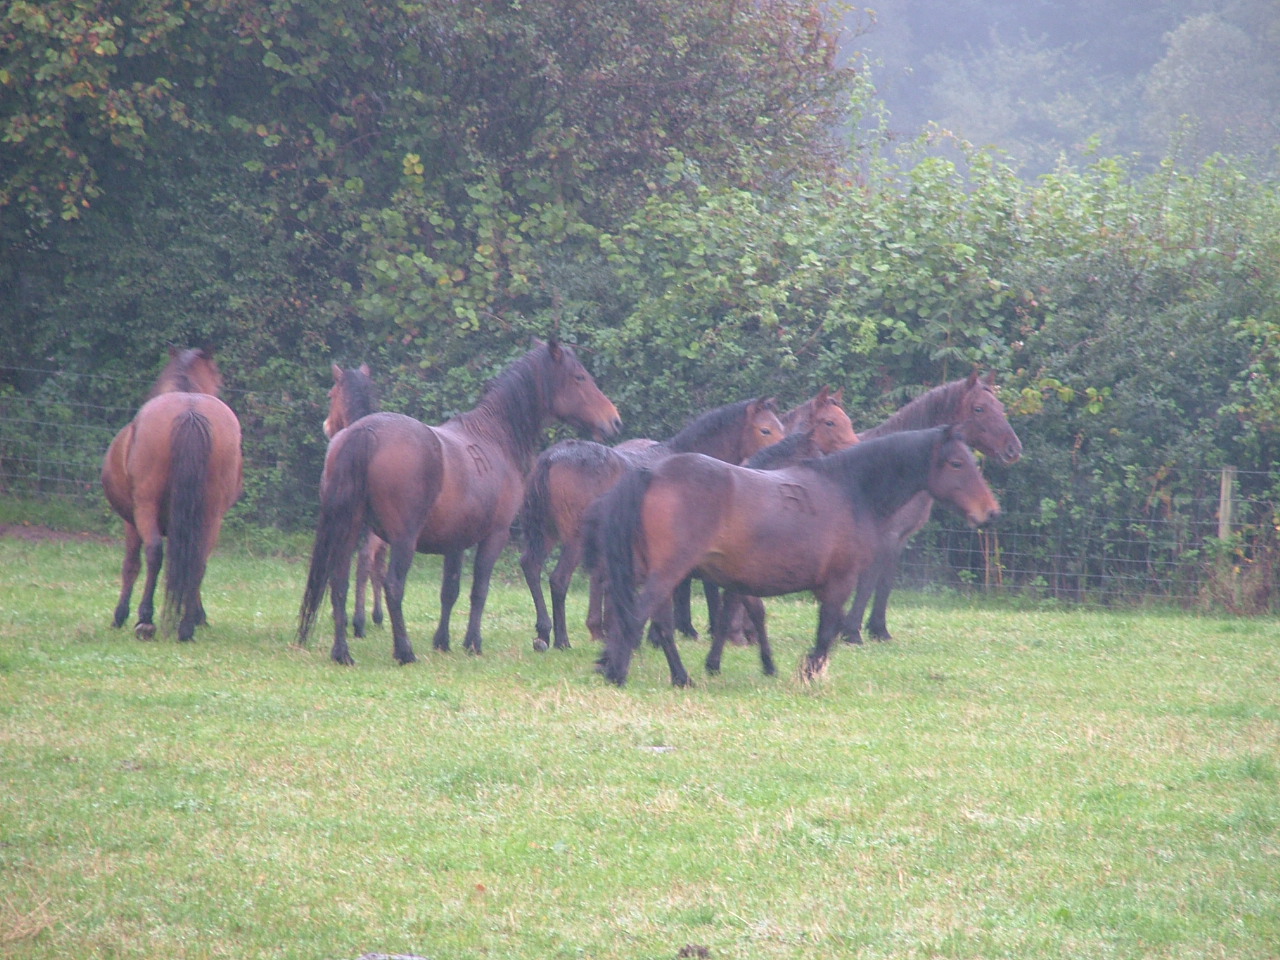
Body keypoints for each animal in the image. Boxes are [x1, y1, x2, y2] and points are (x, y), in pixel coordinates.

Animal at [101, 346, 244, 642]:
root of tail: (190, 410)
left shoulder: (130, 521)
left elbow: (131, 565)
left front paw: (120, 615)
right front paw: (200, 616)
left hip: (145, 507)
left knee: (154, 553)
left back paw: (145, 619)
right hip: (212, 513)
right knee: (198, 560)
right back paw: (186, 626)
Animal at [297, 339, 622, 666]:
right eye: (580, 377)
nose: (614, 420)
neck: (493, 436)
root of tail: (365, 432)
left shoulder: (455, 541)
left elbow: (449, 591)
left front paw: (443, 641)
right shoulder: (494, 535)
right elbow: (479, 590)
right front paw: (472, 642)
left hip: (349, 528)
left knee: (339, 583)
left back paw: (342, 653)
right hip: (402, 539)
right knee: (393, 586)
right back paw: (404, 651)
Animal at [518, 396, 786, 652]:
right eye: (765, 430)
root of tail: (550, 458)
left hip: (546, 531)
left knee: (531, 566)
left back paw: (543, 634)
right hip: (574, 539)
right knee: (558, 579)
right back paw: (562, 640)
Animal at [588, 426, 1000, 687]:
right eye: (957, 463)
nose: (990, 511)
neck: (849, 490)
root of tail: (652, 472)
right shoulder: (839, 582)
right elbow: (827, 631)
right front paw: (808, 674)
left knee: (658, 624)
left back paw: (679, 677)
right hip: (668, 573)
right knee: (639, 617)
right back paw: (618, 672)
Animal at [842, 370, 1021, 644]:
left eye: (1000, 407)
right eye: (979, 408)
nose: (1013, 449)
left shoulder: (898, 539)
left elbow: (884, 583)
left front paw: (880, 630)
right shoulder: (883, 537)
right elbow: (868, 583)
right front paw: (852, 632)